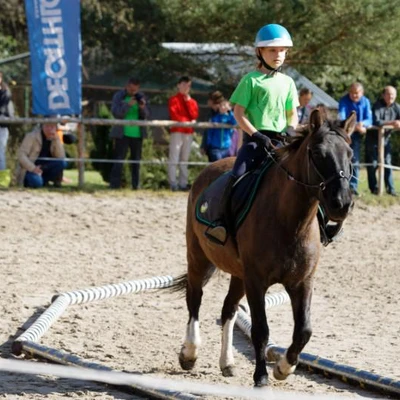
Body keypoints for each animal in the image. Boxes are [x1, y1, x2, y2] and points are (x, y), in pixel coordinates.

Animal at [173, 109, 354, 388]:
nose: (341, 203)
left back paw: (227, 363)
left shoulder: (302, 282)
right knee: (195, 299)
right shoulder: (256, 281)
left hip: (238, 273)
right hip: (199, 257)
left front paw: (283, 367)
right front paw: (261, 376)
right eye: (317, 153)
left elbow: (304, 330)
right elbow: (261, 329)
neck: (291, 222)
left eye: (351, 154)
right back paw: (189, 353)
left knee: (228, 309)